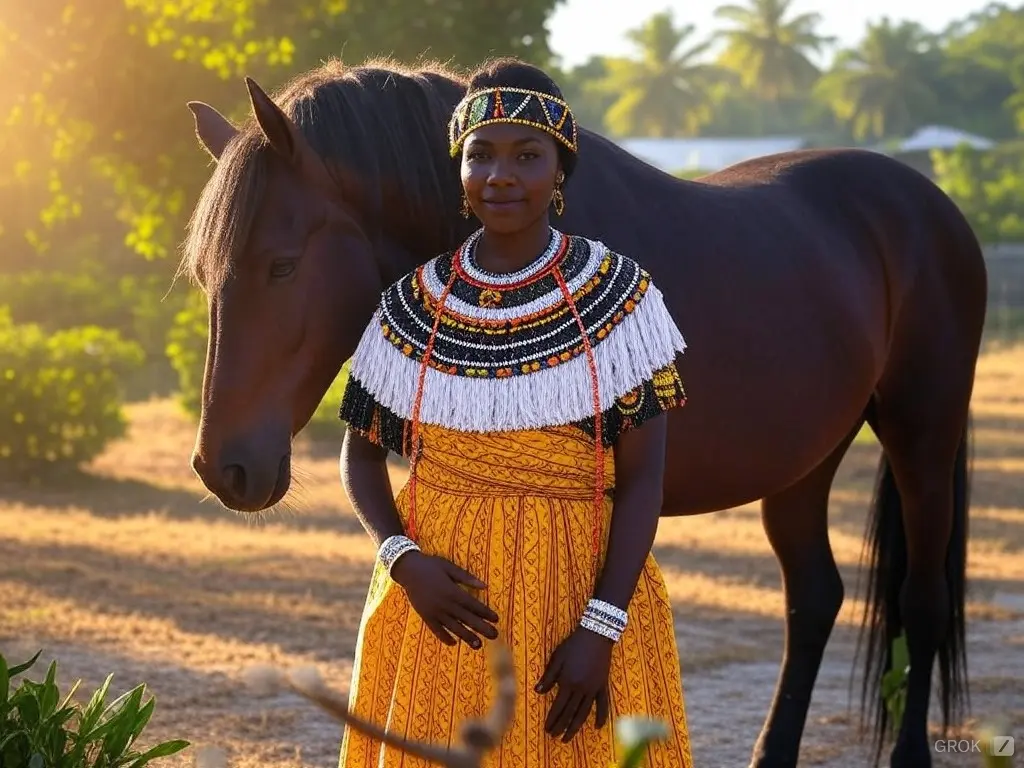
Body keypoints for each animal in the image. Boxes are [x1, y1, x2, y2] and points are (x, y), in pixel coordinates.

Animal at [180, 57, 987, 765]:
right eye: (205, 273)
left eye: (282, 265)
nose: (224, 468)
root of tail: (930, 202)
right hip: (805, 458)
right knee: (814, 599)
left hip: (923, 434)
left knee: (922, 600)